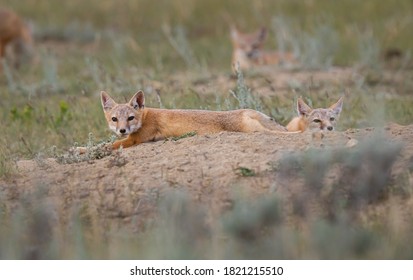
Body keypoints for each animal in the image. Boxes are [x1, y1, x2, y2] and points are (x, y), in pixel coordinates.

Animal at [88, 91, 292, 150]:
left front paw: (82, 150)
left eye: (130, 118)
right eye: (114, 119)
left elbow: (105, 146)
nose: (122, 130)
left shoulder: (135, 139)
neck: (146, 116)